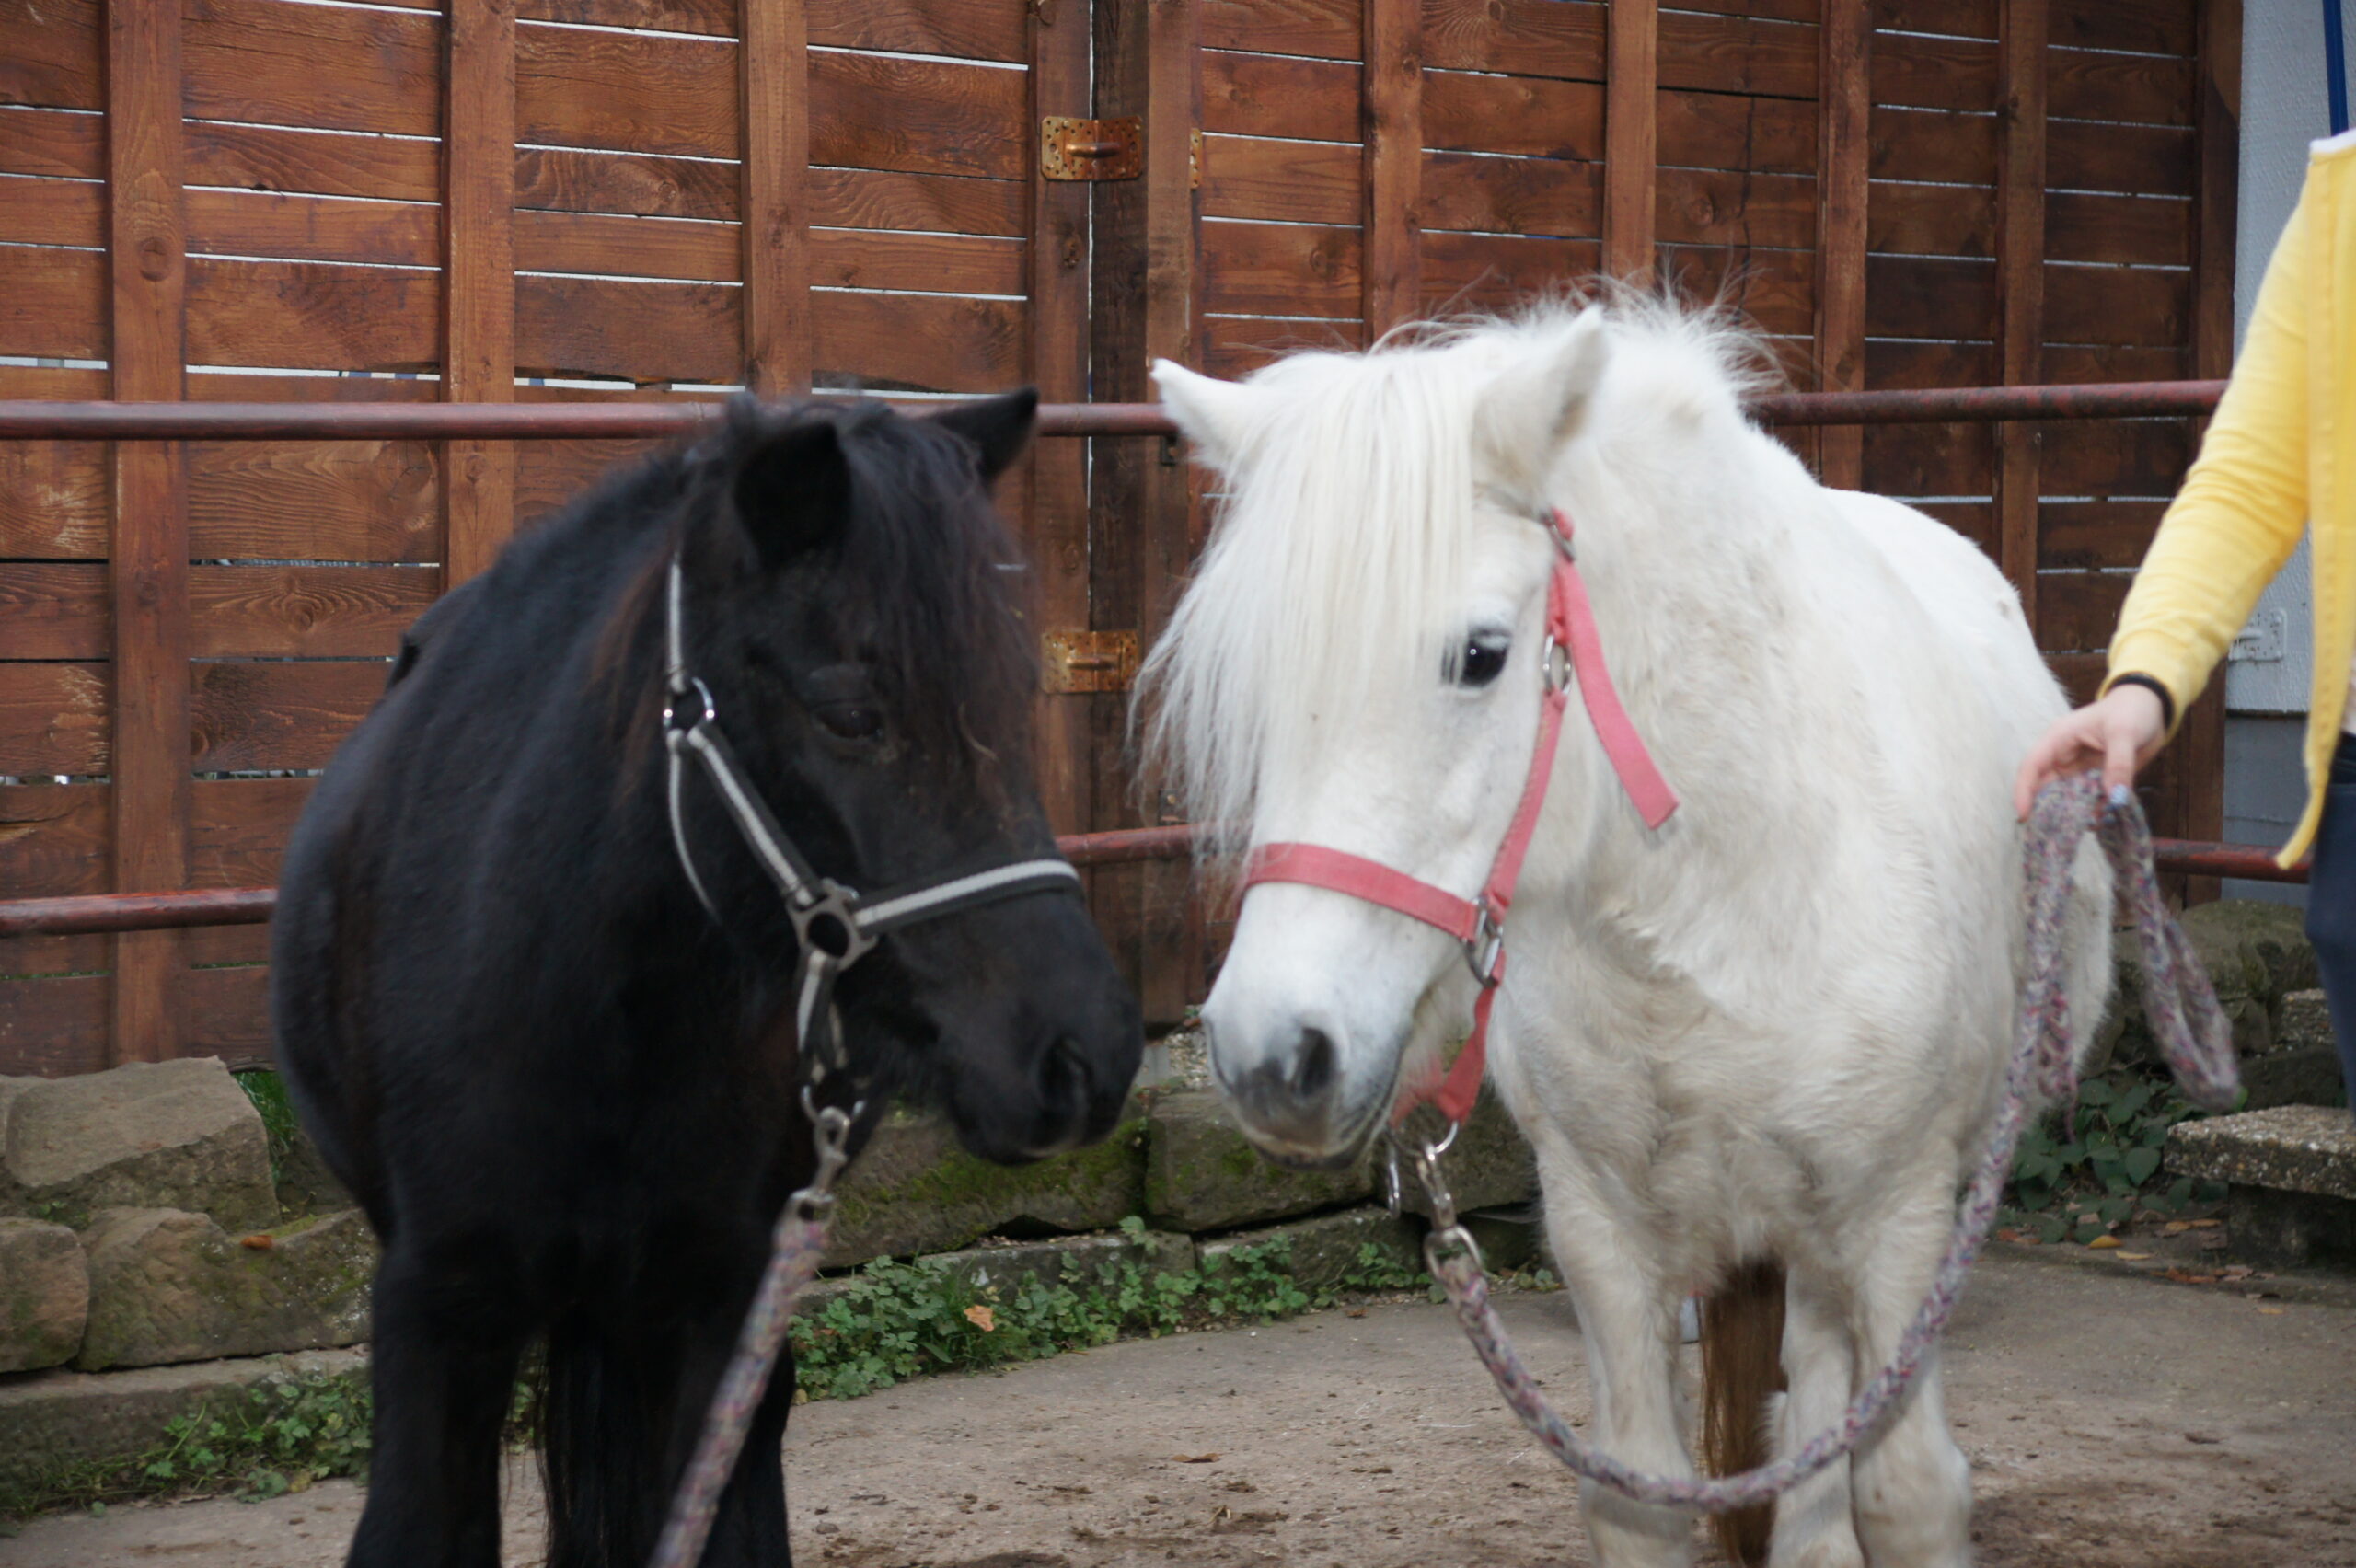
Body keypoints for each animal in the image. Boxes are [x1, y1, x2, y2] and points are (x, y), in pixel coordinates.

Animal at [1138, 297, 2113, 1568]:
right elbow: (1639, 1489)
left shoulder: (1899, 1217)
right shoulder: (1598, 1228)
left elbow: (1907, 1491)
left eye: (1480, 656)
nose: (1272, 1054)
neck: (1716, 911)